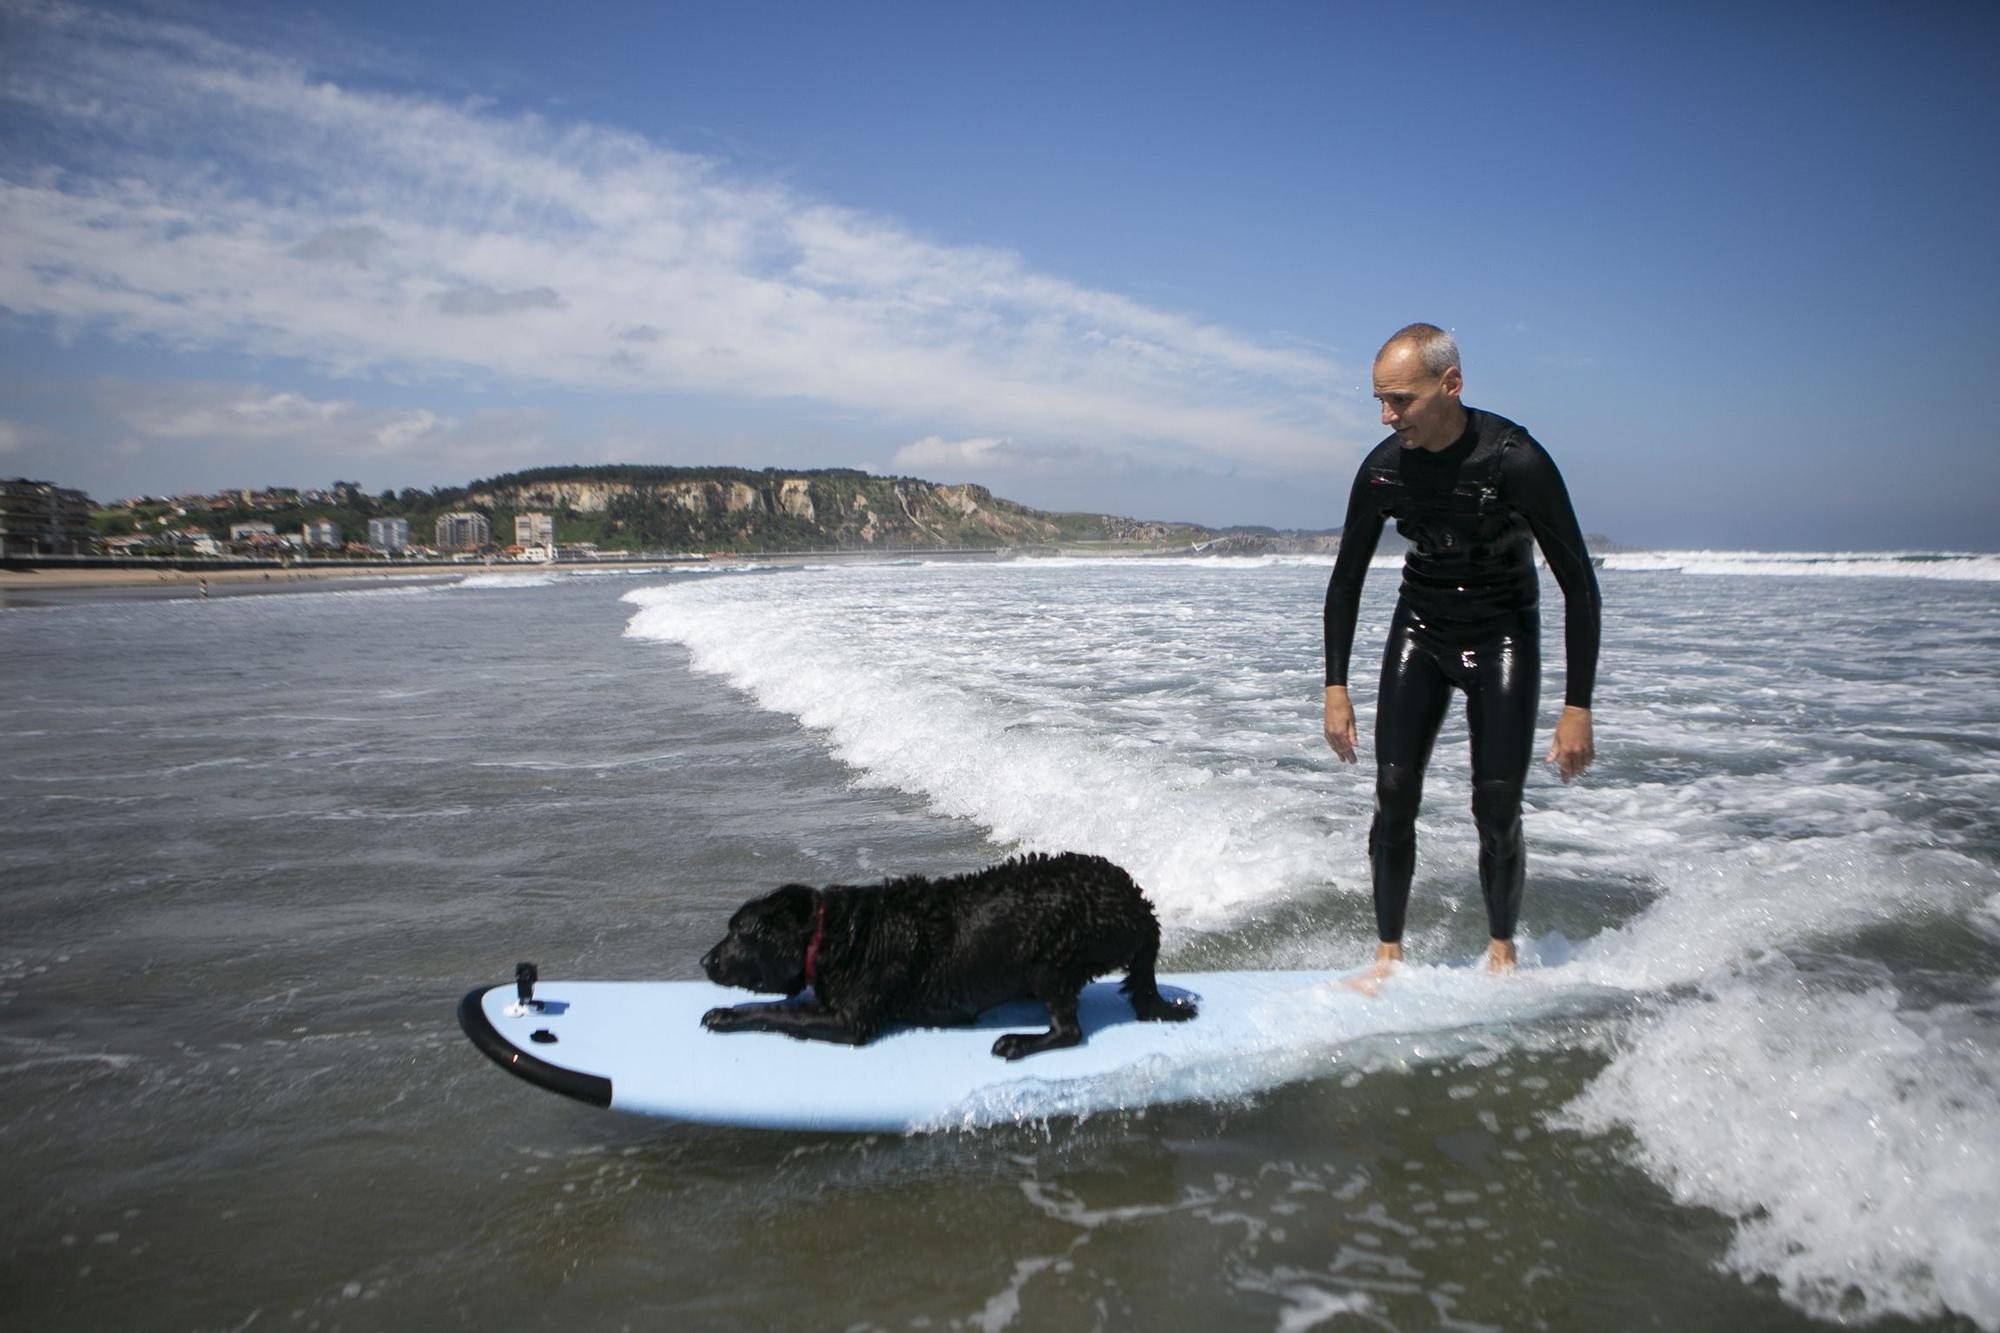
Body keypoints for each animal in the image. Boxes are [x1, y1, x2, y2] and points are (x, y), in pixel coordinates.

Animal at [704, 852, 1192, 1056]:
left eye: (737, 933)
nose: (704, 961)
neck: (835, 936)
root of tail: (1139, 905)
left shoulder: (850, 1021)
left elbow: (781, 1013)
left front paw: (725, 1015)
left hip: (1053, 956)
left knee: (1068, 1030)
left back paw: (1018, 1042)